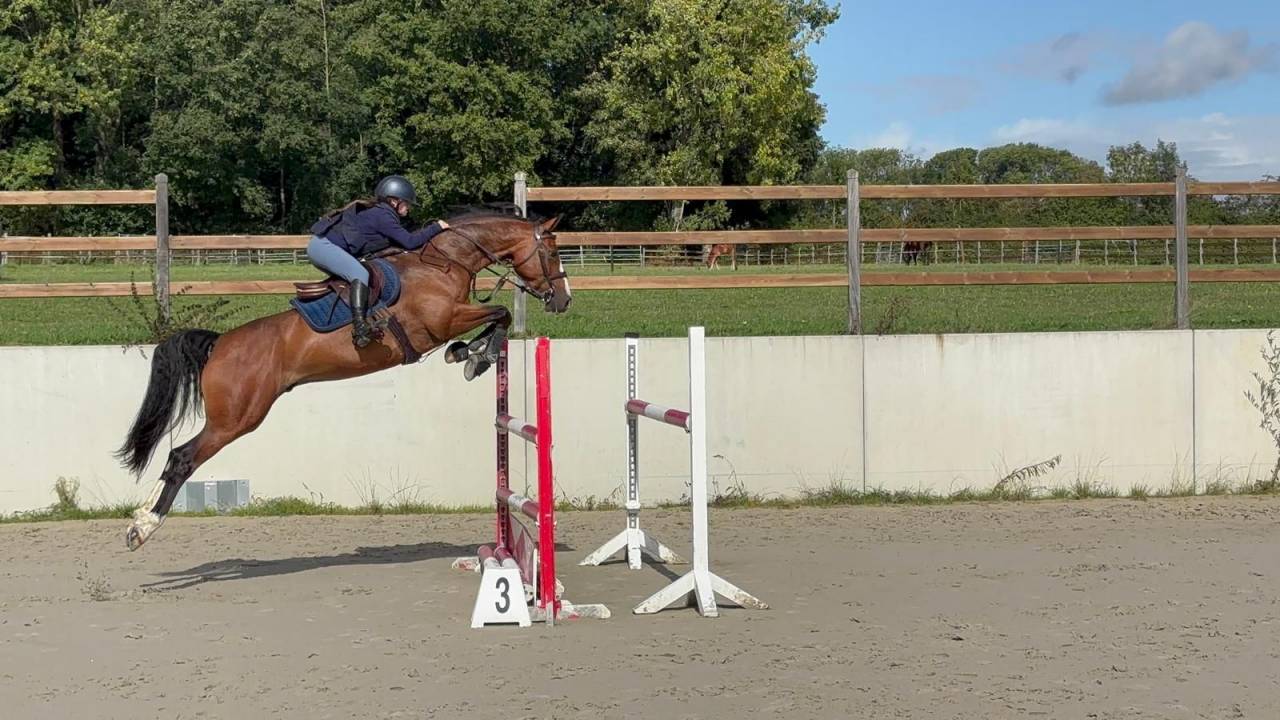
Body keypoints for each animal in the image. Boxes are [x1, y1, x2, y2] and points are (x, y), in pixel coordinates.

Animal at [115, 206, 569, 551]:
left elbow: (496, 319)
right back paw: (143, 527)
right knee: (182, 457)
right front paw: (477, 356)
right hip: (236, 419)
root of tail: (221, 343)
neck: (446, 261)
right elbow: (500, 314)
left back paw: (140, 521)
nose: (564, 300)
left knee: (177, 456)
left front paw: (467, 354)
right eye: (552, 253)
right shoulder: (443, 320)